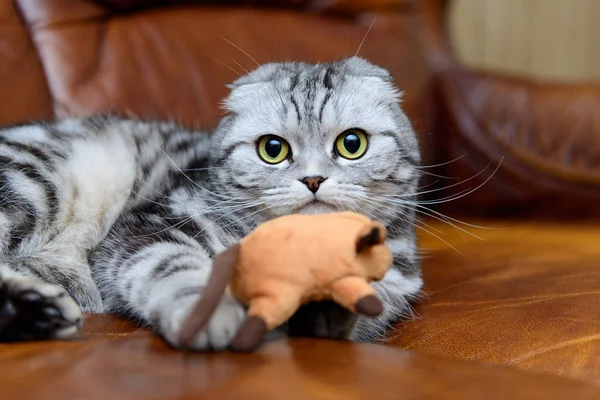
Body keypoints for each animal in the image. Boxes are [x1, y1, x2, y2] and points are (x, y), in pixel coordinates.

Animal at [0, 57, 422, 350]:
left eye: (352, 144)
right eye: (273, 149)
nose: (313, 180)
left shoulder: (387, 292)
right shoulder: (154, 225)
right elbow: (179, 270)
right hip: (33, 185)